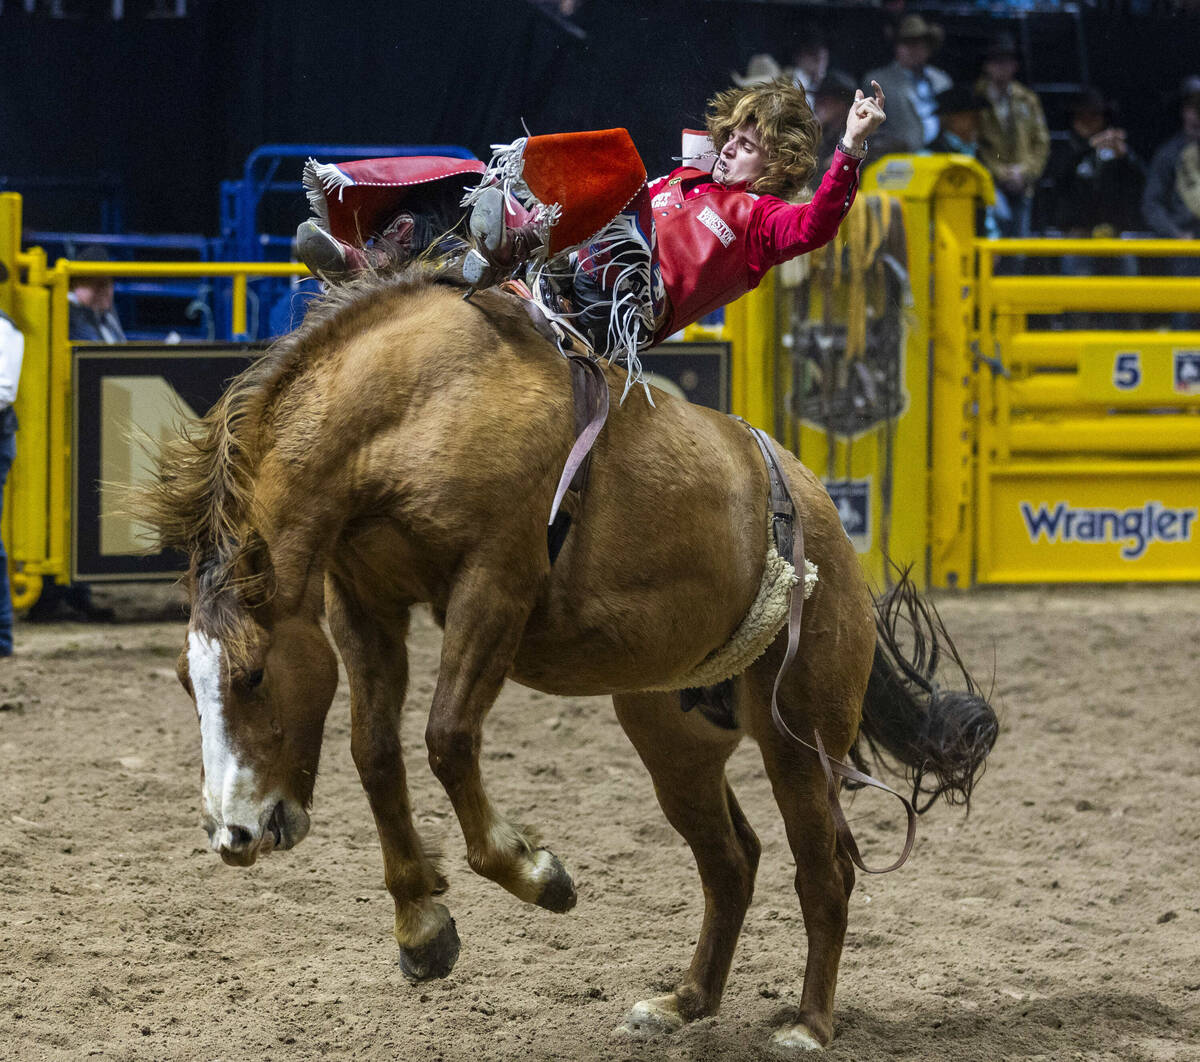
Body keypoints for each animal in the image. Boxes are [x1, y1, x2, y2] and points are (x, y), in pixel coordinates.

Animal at [138, 267, 993, 1051]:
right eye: (185, 682)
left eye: (251, 675)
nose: (233, 835)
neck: (413, 410)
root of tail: (826, 525)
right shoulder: (362, 606)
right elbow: (375, 751)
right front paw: (423, 927)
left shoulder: (494, 585)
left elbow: (446, 738)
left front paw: (536, 873)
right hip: (673, 737)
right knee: (731, 861)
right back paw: (682, 1003)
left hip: (803, 736)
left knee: (825, 868)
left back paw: (808, 1026)